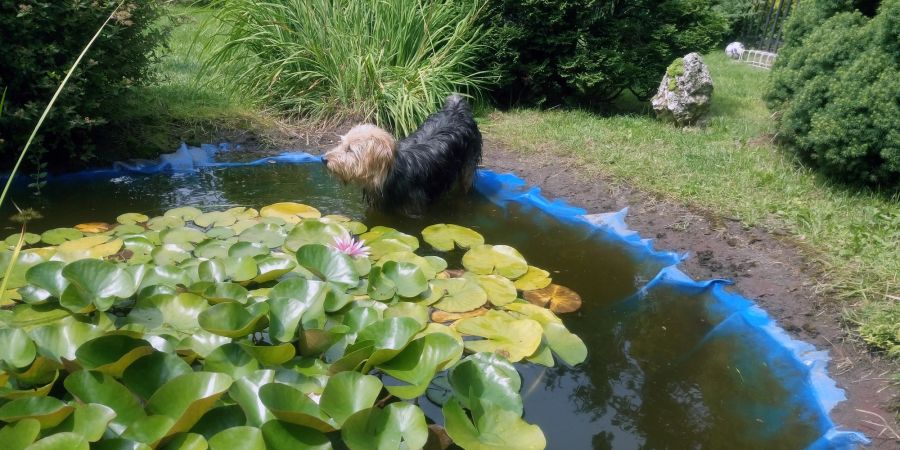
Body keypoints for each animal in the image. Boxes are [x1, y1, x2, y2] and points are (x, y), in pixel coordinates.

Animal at [322, 93, 482, 216]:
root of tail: (456, 110)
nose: (324, 159)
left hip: (467, 166)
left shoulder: (413, 209)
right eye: (342, 144)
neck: (388, 175)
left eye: (349, 149)